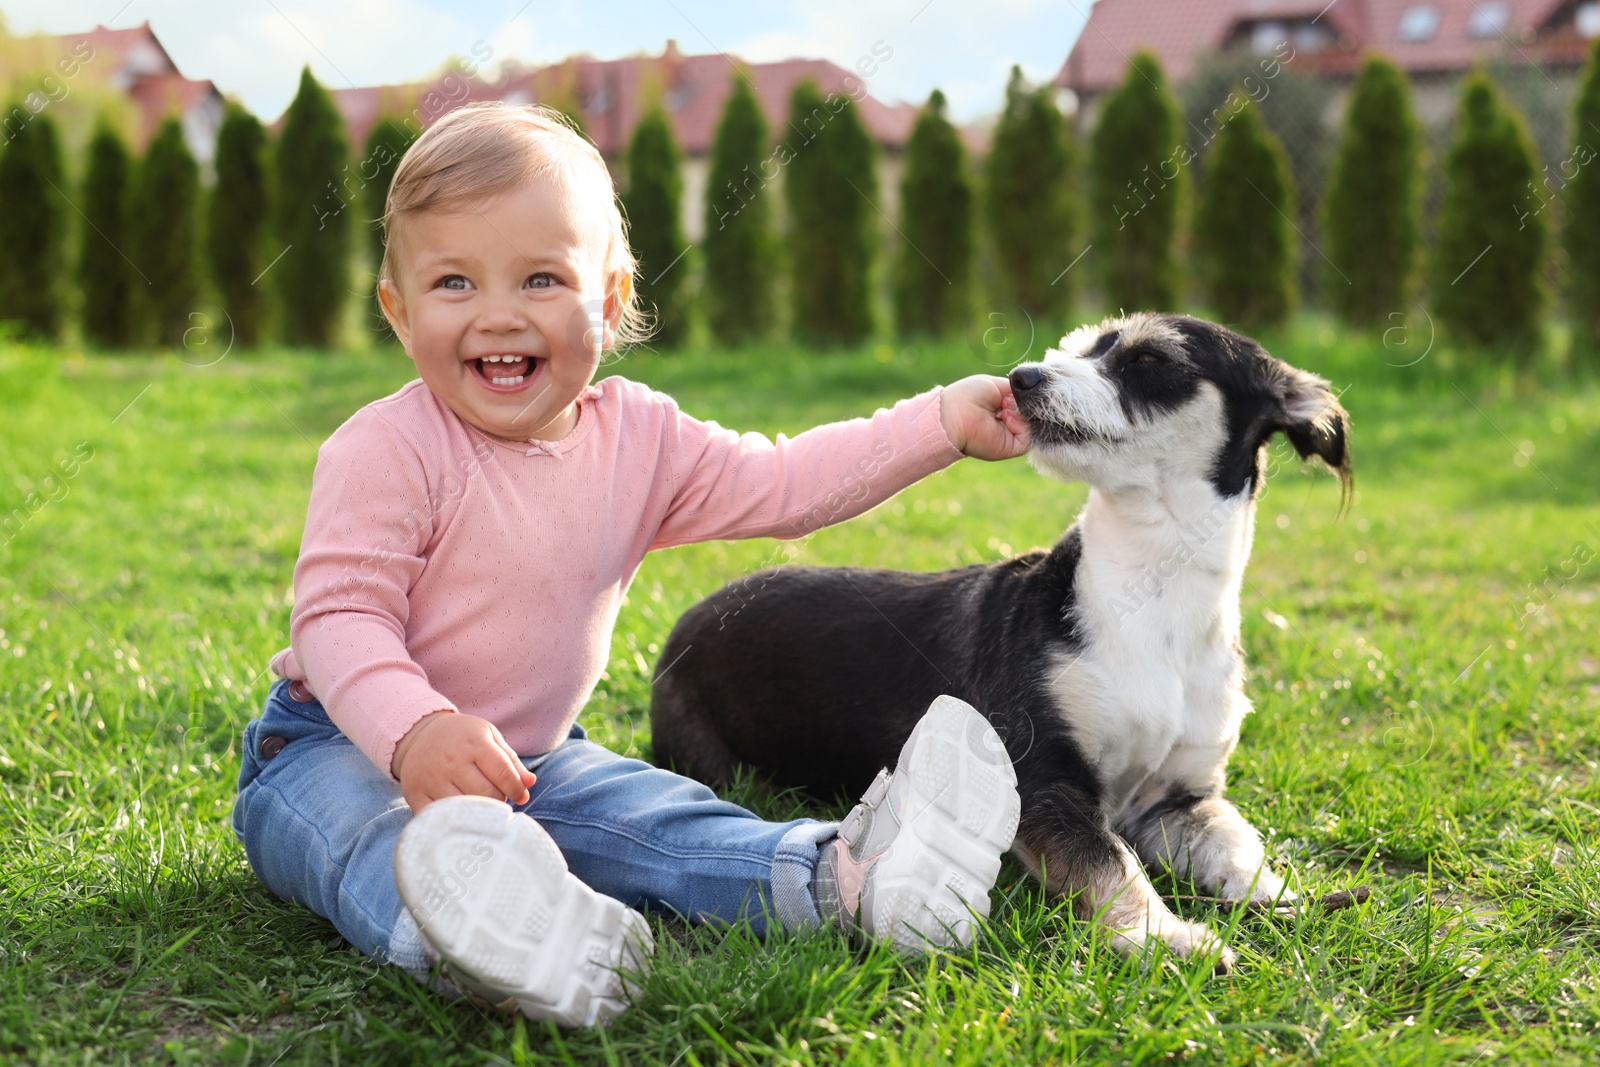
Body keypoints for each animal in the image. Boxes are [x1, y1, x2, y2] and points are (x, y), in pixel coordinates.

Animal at [649, 310, 1350, 966]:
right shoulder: (1042, 782)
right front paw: (1163, 936)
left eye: (1150, 360)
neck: (1153, 599)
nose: (1022, 377)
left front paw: (1275, 893)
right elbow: (1111, 860)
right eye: (1075, 350)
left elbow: (1235, 839)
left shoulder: (1178, 798)